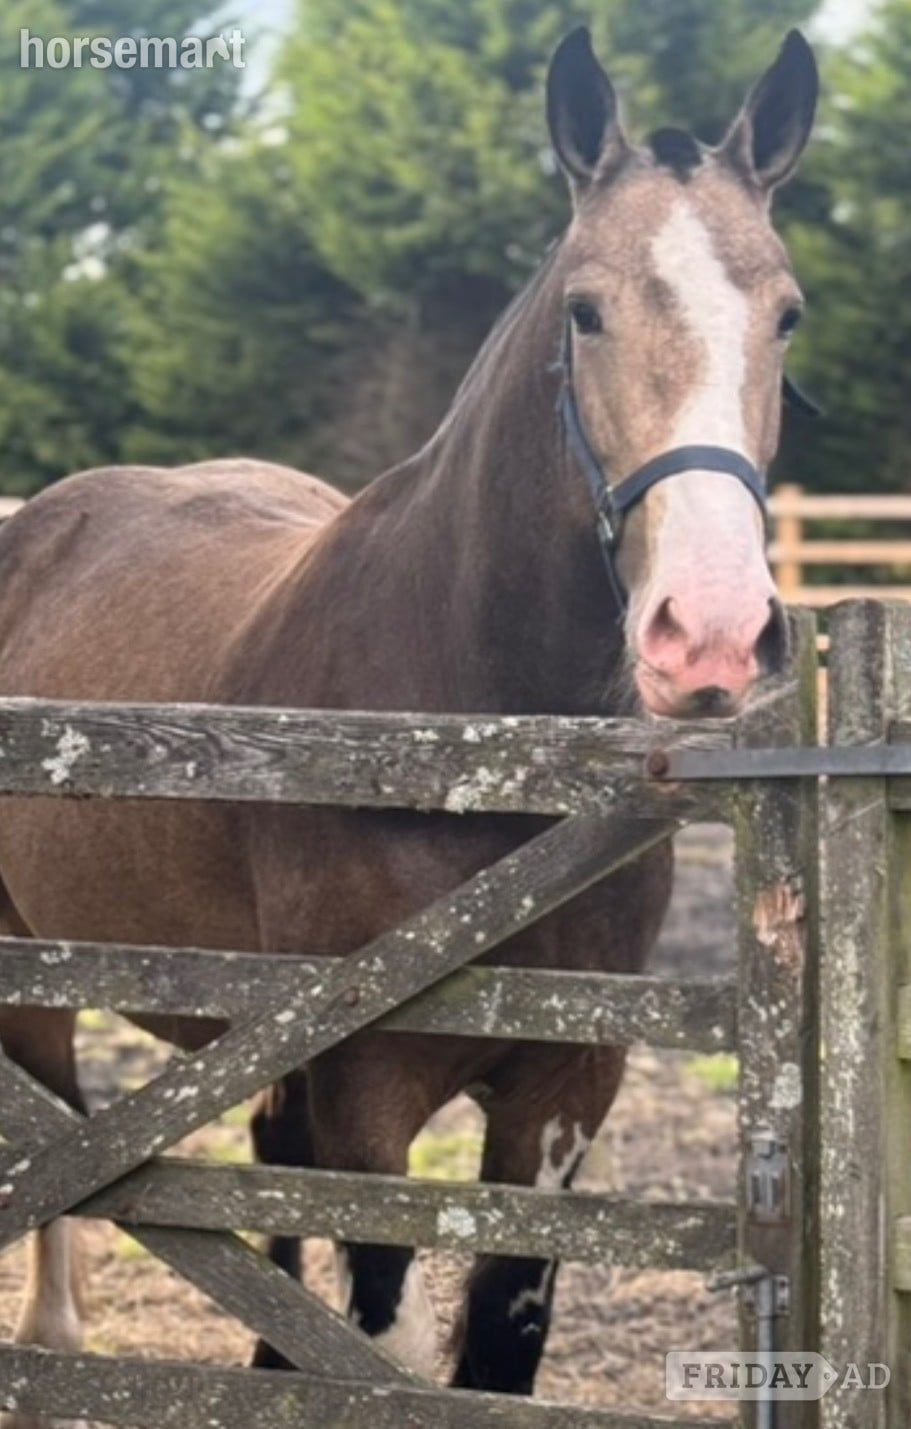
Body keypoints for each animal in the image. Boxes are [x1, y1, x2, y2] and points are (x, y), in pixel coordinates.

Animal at [0, 25, 816, 1425]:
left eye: (785, 314)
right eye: (583, 309)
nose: (707, 630)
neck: (475, 752)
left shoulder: (560, 1096)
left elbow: (495, 1340)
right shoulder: (366, 1089)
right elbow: (375, 1321)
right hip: (35, 970)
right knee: (55, 1122)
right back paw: (53, 1335)